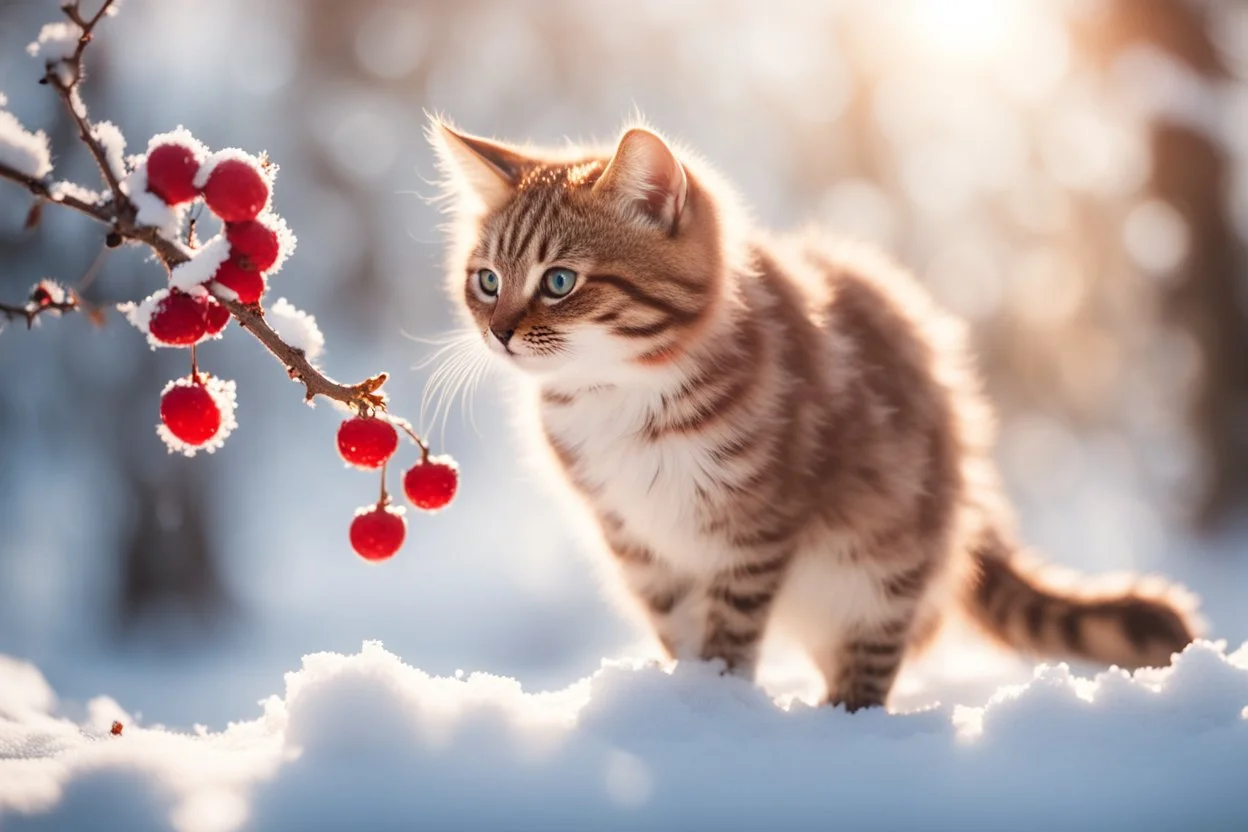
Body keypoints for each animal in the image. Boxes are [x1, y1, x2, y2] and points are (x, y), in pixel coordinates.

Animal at [426, 115, 1198, 708]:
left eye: (559, 281)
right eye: (486, 280)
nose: (499, 331)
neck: (621, 398)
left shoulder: (755, 526)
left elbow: (730, 629)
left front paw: (717, 704)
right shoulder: (636, 541)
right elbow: (677, 626)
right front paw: (685, 702)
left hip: (879, 563)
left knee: (870, 655)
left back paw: (845, 723)